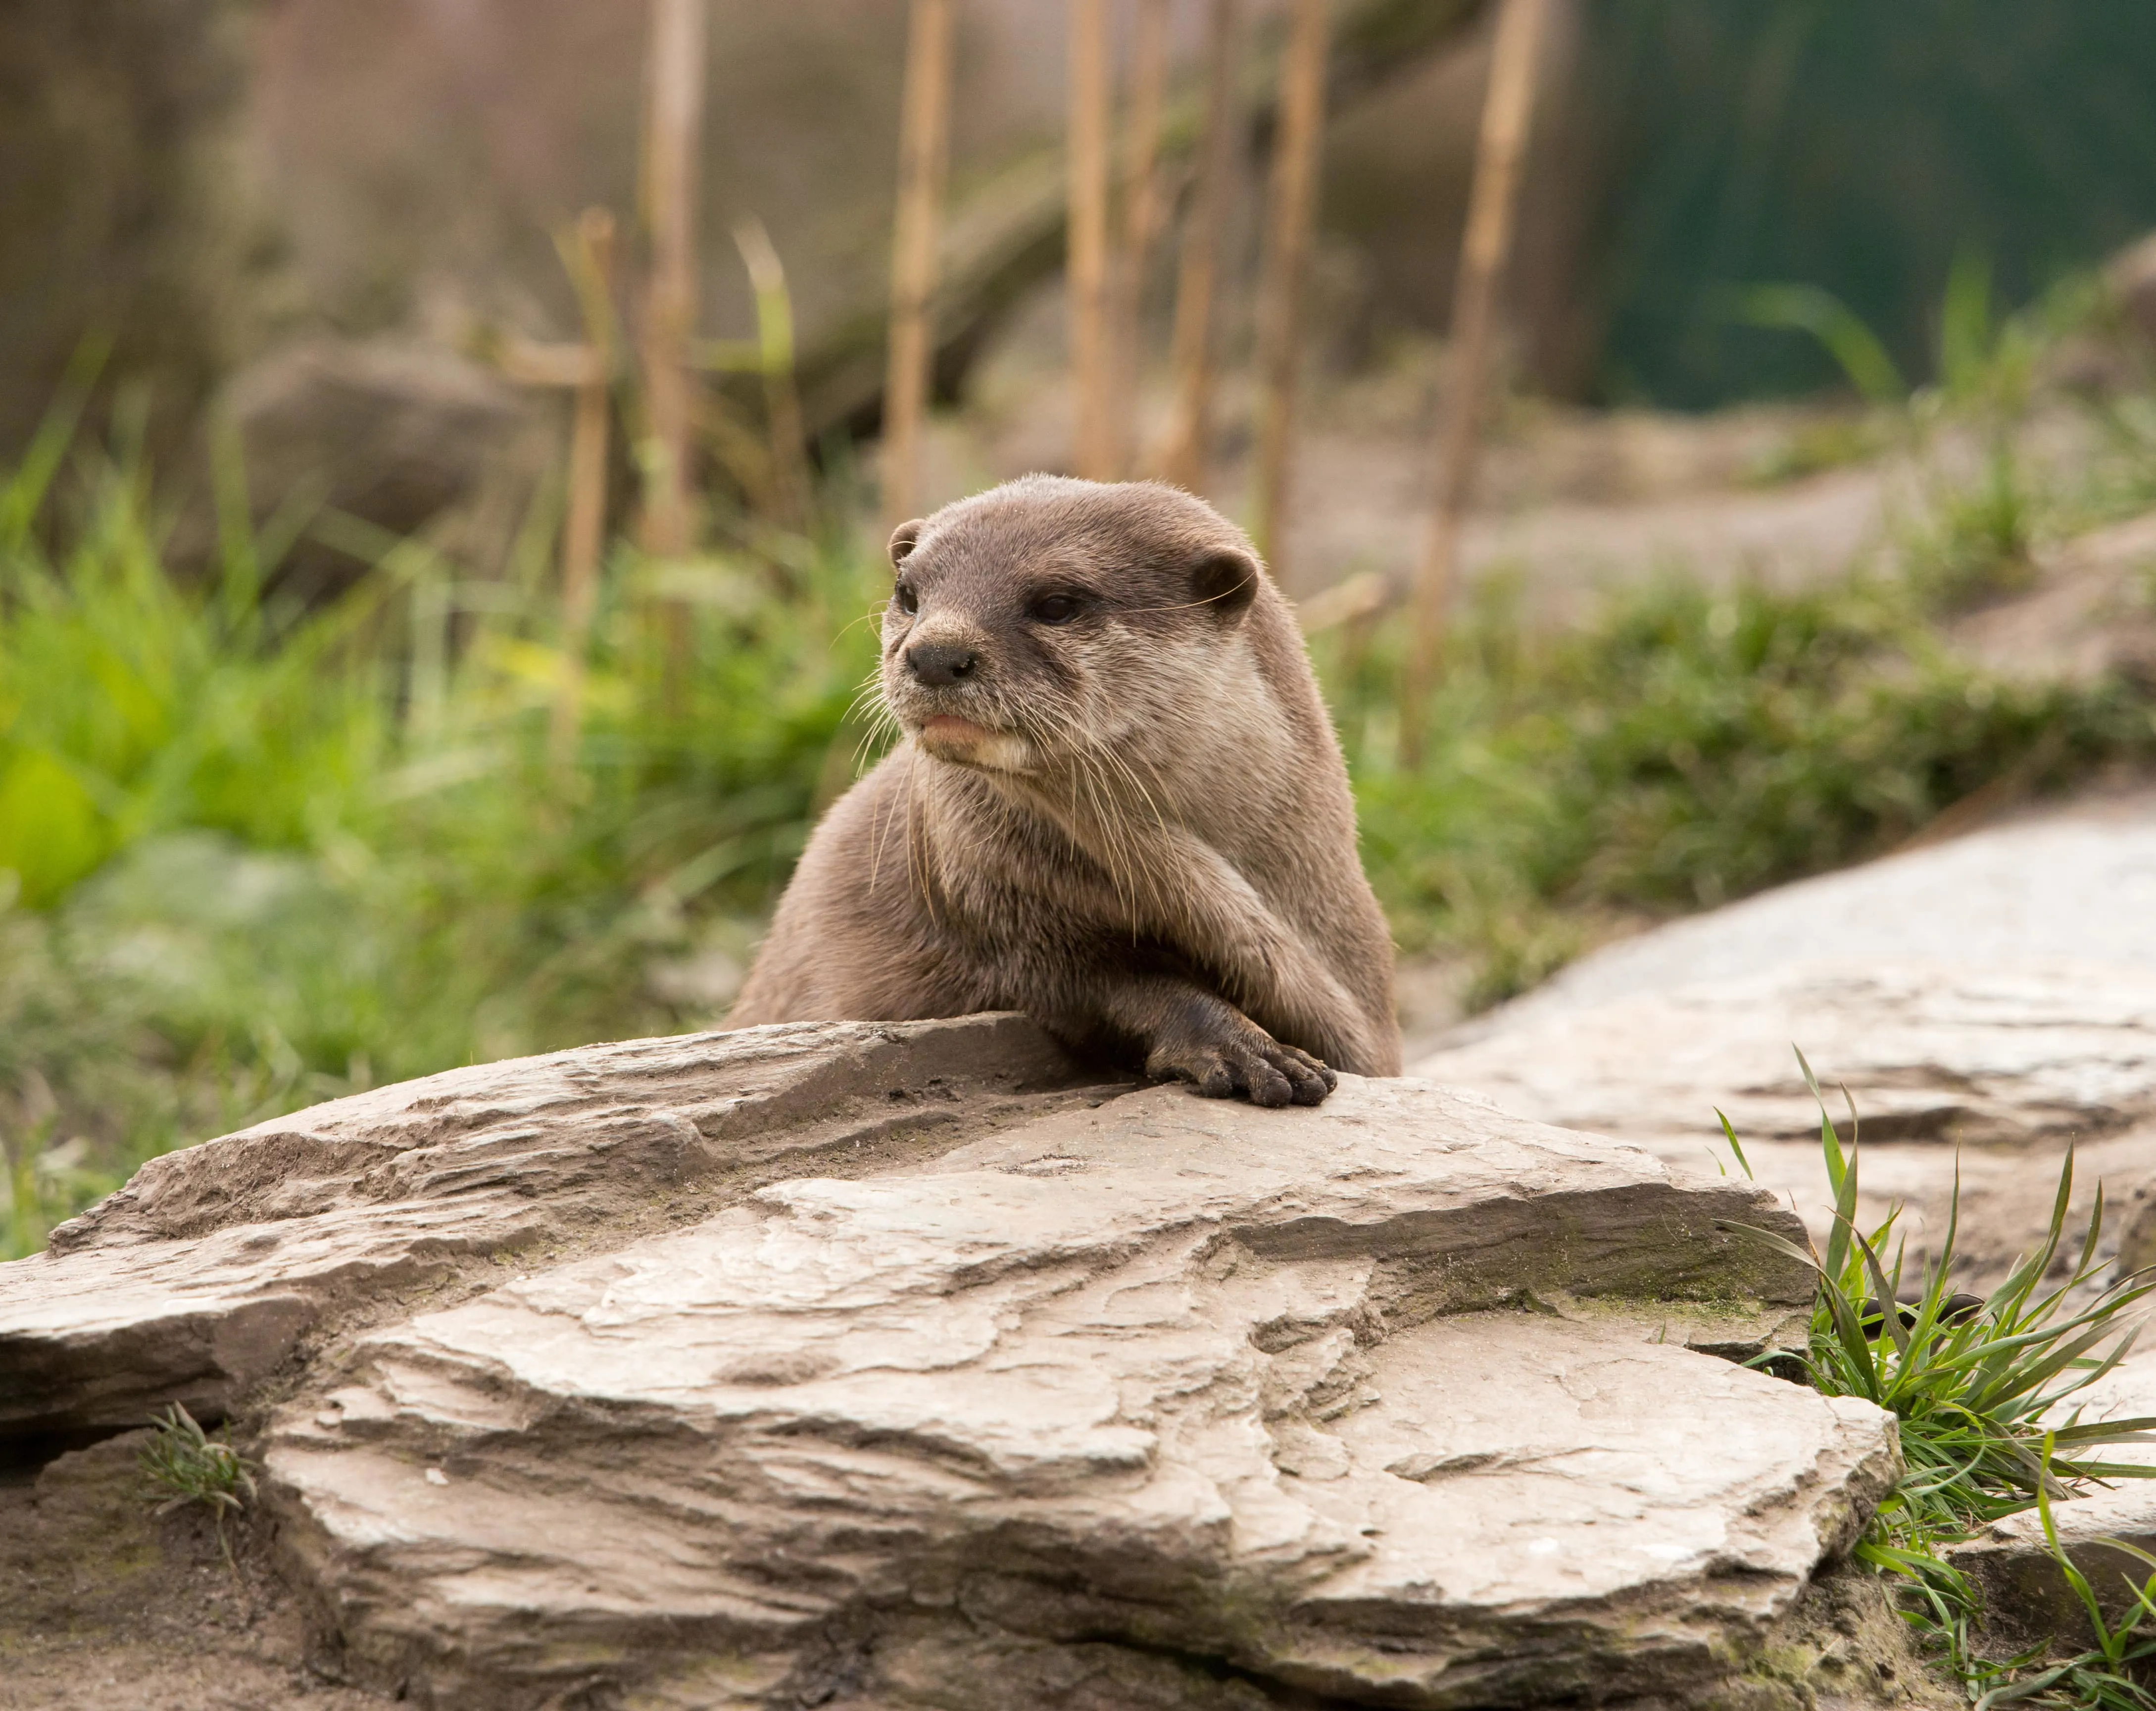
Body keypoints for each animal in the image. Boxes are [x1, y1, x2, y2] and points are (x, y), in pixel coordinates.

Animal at [724, 474, 1397, 1100]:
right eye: (908, 595)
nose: (936, 653)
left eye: (1057, 603)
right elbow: (1107, 983)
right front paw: (1242, 1046)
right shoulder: (991, 905)